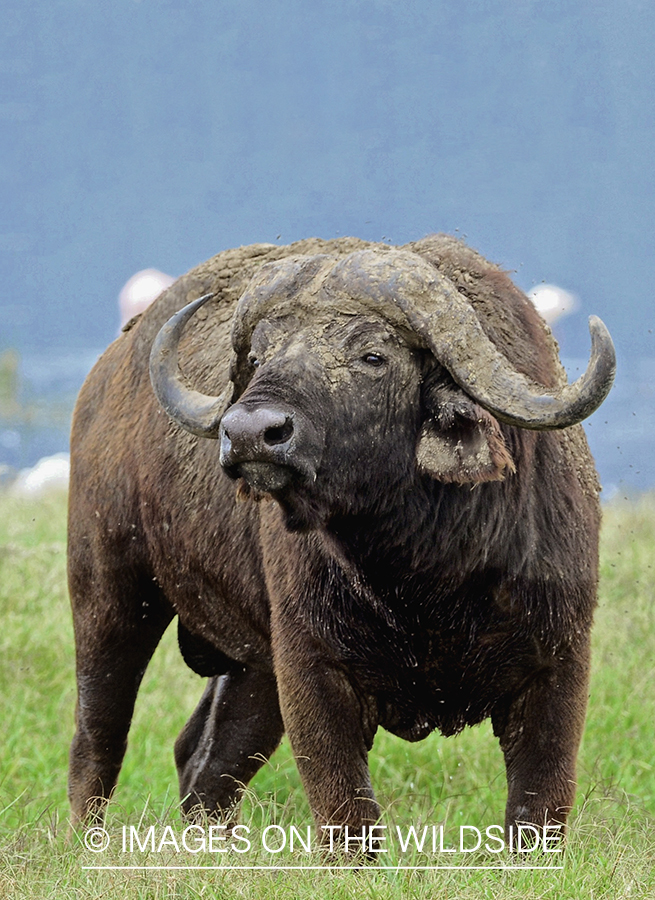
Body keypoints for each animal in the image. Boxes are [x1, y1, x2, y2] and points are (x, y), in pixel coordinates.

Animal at [67, 234, 615, 848]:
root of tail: (108, 373)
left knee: (204, 759)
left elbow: (537, 809)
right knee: (97, 743)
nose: (250, 432)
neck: (426, 578)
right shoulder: (312, 669)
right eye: (257, 358)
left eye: (373, 356)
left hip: (252, 668)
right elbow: (346, 814)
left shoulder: (559, 663)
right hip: (109, 594)